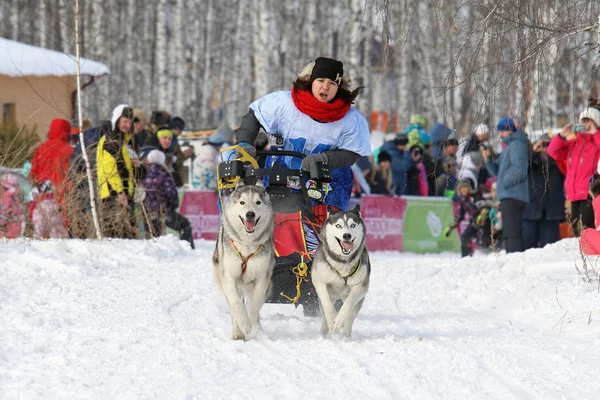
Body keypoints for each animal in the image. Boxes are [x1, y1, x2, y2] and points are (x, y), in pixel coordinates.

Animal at [212, 180, 276, 340]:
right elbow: (236, 304)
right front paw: (244, 325)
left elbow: (254, 305)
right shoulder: (229, 277)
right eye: (242, 202)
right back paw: (238, 332)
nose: (250, 214)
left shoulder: (262, 278)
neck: (247, 245)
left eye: (258, 202)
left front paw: (251, 323)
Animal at [310, 203, 370, 338]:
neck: (342, 262)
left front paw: (338, 320)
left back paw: (346, 335)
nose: (346, 235)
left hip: (358, 302)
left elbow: (349, 303)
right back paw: (323, 333)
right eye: (338, 225)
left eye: (353, 225)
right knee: (324, 315)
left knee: (350, 319)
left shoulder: (361, 287)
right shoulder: (319, 281)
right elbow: (327, 302)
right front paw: (333, 318)